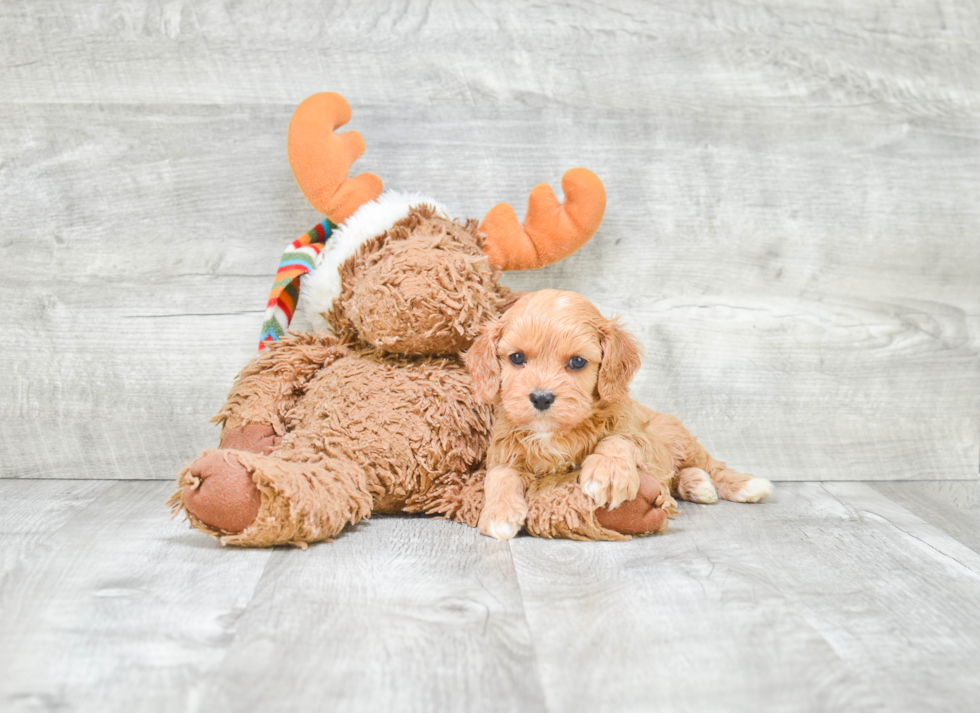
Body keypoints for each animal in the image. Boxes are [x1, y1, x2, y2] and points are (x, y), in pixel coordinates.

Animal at [468, 290, 772, 540]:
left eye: (577, 361)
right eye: (517, 358)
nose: (541, 397)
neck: (553, 433)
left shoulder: (644, 442)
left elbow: (617, 440)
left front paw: (609, 471)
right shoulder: (504, 451)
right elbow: (499, 475)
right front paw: (498, 512)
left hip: (678, 439)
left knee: (712, 465)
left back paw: (744, 484)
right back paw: (696, 484)